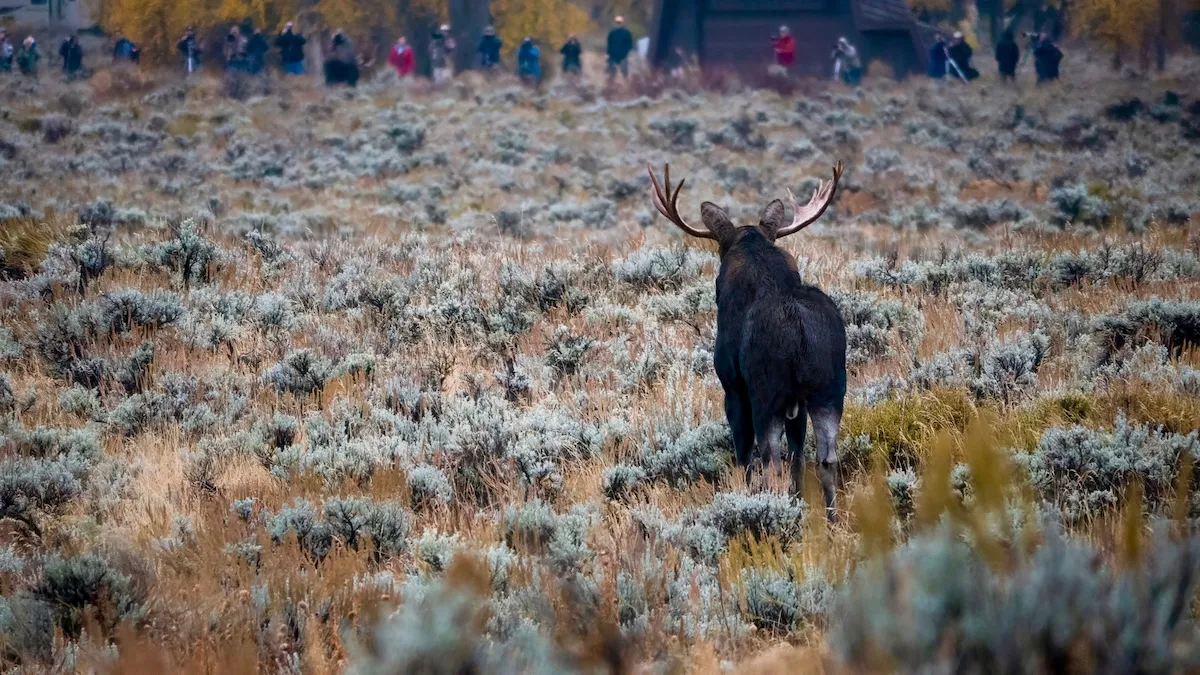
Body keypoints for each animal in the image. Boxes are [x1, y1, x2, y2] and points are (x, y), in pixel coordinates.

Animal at [648, 161, 847, 522]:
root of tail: (798, 331)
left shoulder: (732, 385)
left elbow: (743, 455)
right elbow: (798, 456)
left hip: (766, 391)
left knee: (771, 460)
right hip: (829, 390)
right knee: (824, 459)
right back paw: (831, 522)